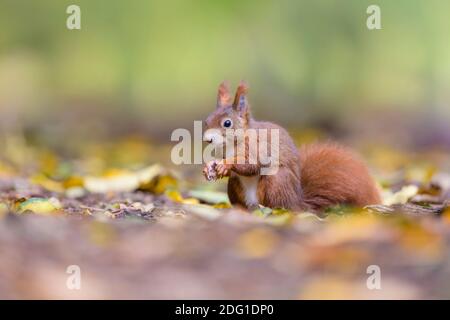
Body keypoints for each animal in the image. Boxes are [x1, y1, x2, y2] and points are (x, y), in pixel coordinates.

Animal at [202, 81, 382, 211]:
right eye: (206, 121)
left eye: (227, 123)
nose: (207, 140)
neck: (232, 145)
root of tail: (297, 202)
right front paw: (209, 167)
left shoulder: (259, 147)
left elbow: (251, 164)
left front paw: (226, 164)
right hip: (234, 186)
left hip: (276, 182)